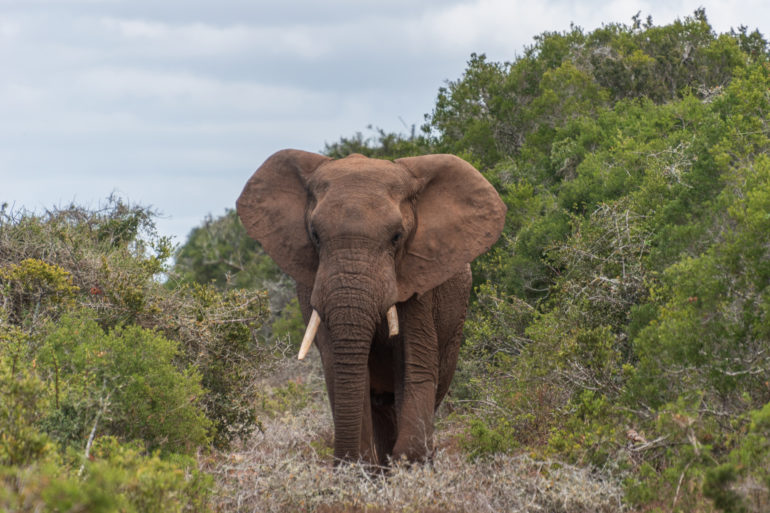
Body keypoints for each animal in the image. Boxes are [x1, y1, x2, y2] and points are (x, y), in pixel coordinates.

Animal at [236, 149, 506, 465]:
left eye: (397, 237)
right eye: (315, 235)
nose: (340, 461)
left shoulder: (418, 283)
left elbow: (415, 367)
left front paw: (410, 463)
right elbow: (342, 370)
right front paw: (360, 466)